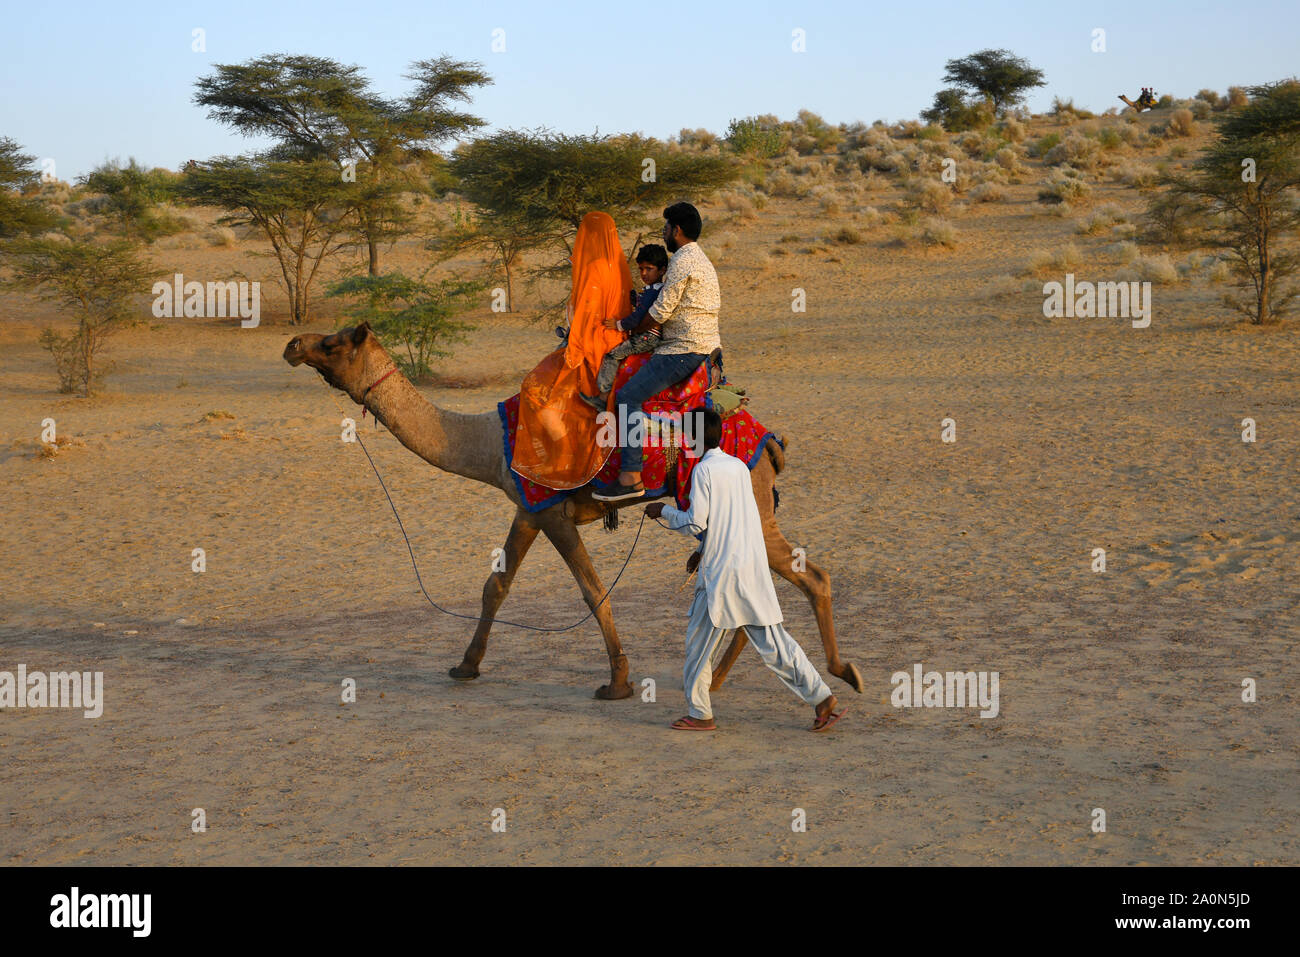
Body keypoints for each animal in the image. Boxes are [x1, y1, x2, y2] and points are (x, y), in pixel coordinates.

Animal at [282, 322, 863, 701]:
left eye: (334, 343)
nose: (292, 344)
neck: (490, 442)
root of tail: (770, 441)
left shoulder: (553, 513)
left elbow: (590, 588)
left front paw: (618, 682)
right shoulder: (528, 507)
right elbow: (495, 586)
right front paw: (465, 666)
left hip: (749, 505)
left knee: (810, 575)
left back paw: (843, 671)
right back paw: (718, 680)